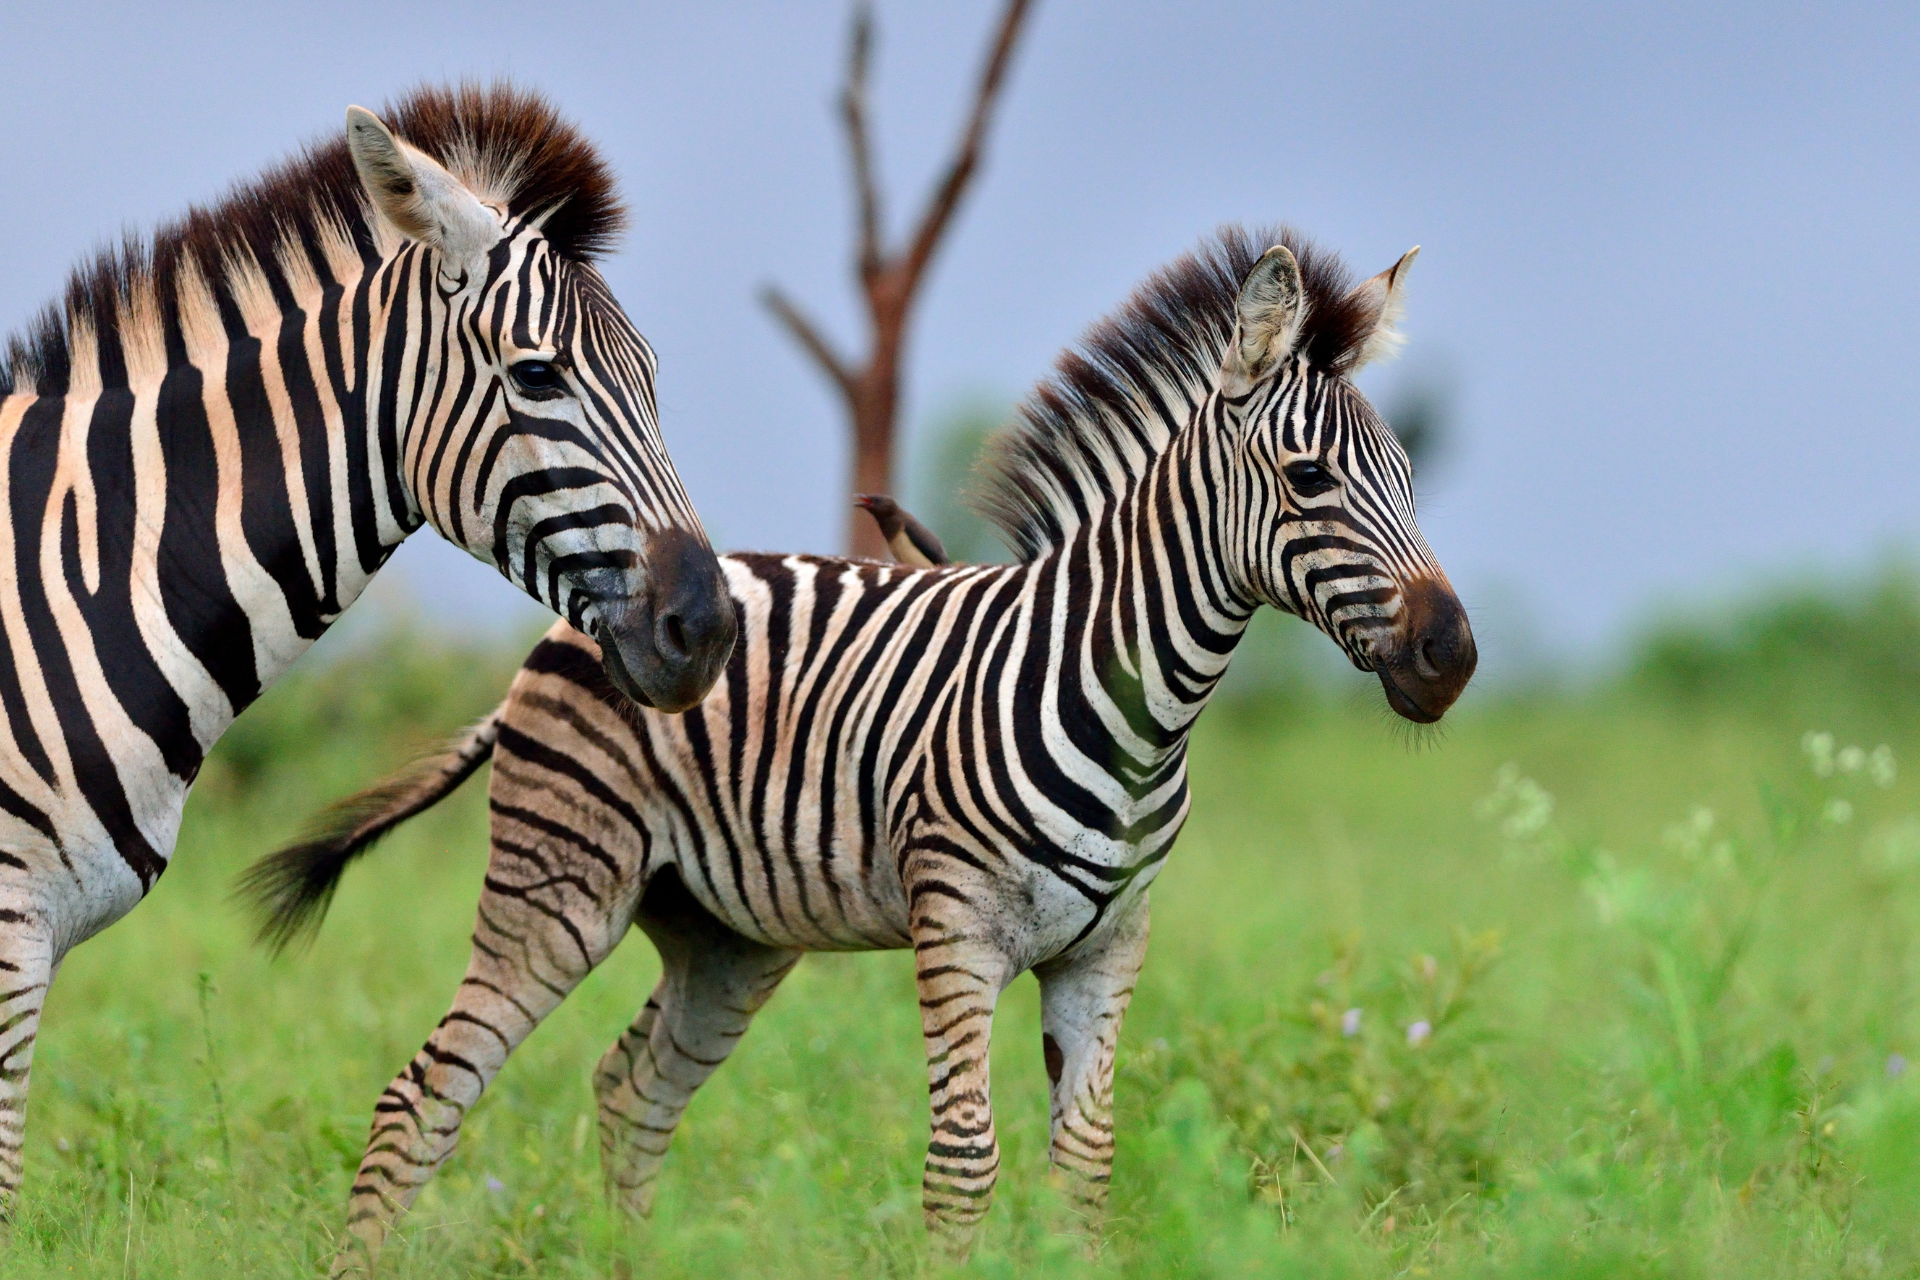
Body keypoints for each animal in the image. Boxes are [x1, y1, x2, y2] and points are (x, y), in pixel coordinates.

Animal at [246, 225, 1477, 1271]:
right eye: (1310, 479)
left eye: (1415, 480)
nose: (1453, 654)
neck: (1133, 705)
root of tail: (567, 628)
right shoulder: (959, 930)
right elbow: (964, 1165)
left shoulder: (1108, 949)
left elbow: (1085, 1165)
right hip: (559, 893)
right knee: (424, 1095)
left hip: (727, 937)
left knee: (631, 1094)